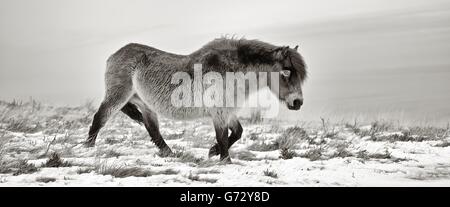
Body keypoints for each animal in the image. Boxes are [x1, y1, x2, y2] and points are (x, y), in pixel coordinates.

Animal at [85, 37, 306, 163]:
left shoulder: (227, 111)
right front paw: (225, 161)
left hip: (144, 104)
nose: (298, 103)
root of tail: (113, 55)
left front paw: (212, 152)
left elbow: (237, 133)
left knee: (152, 129)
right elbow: (223, 136)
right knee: (100, 118)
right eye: (287, 71)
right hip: (118, 95)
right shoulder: (219, 112)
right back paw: (88, 148)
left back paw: (170, 154)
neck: (232, 71)